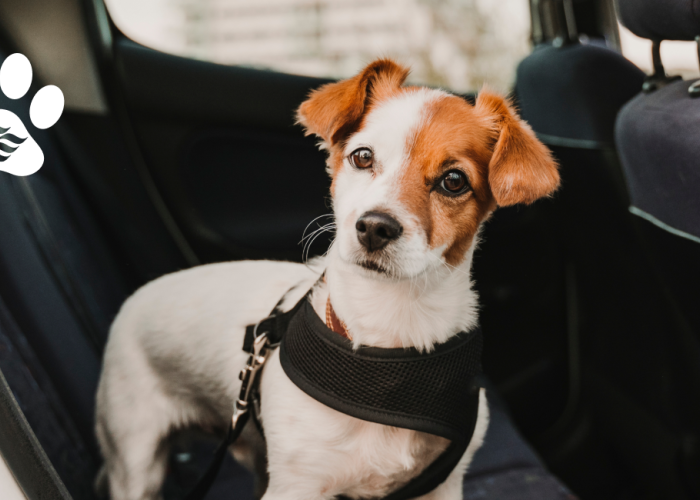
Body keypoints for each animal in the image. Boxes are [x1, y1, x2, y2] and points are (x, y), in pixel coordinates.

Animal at [95, 59, 560, 500]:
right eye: (362, 157)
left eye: (454, 181)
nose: (374, 226)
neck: (388, 342)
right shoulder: (295, 486)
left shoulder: (442, 484)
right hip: (136, 461)